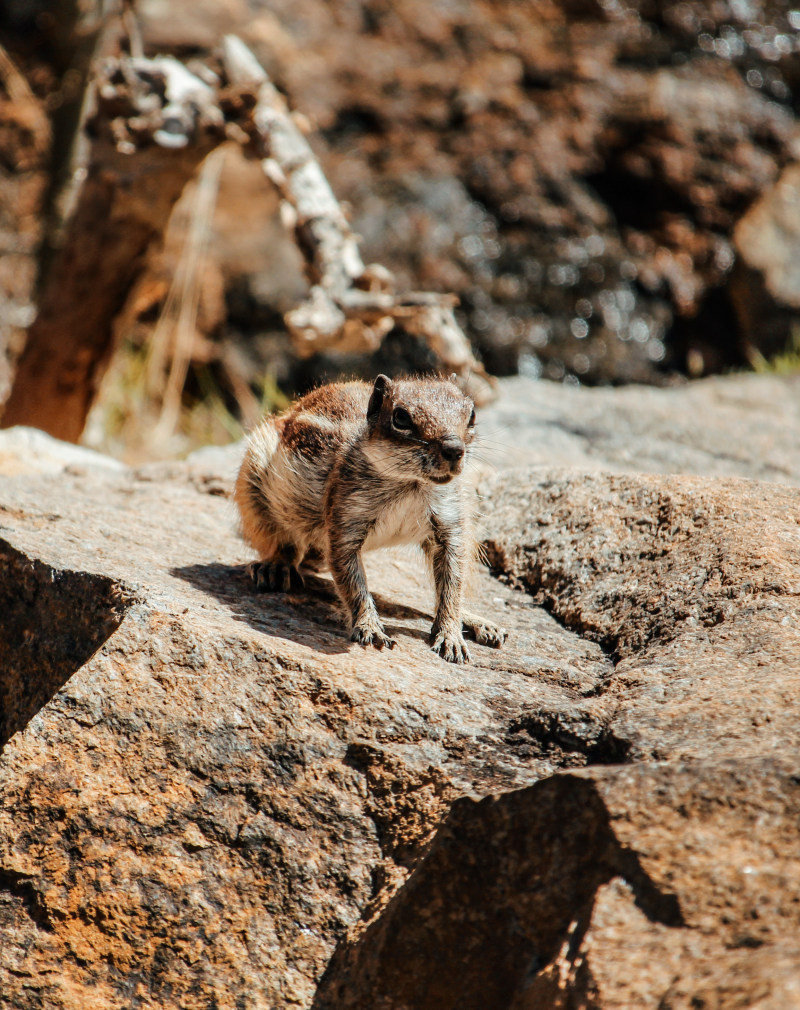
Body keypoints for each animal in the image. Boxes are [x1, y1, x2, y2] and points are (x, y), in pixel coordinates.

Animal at [232, 371, 507, 662]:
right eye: (401, 418)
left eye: (472, 414)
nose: (454, 449)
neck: (411, 484)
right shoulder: (345, 520)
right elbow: (353, 583)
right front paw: (370, 627)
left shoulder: (450, 523)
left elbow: (453, 581)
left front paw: (451, 634)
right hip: (255, 483)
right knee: (283, 542)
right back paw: (276, 567)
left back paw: (477, 621)